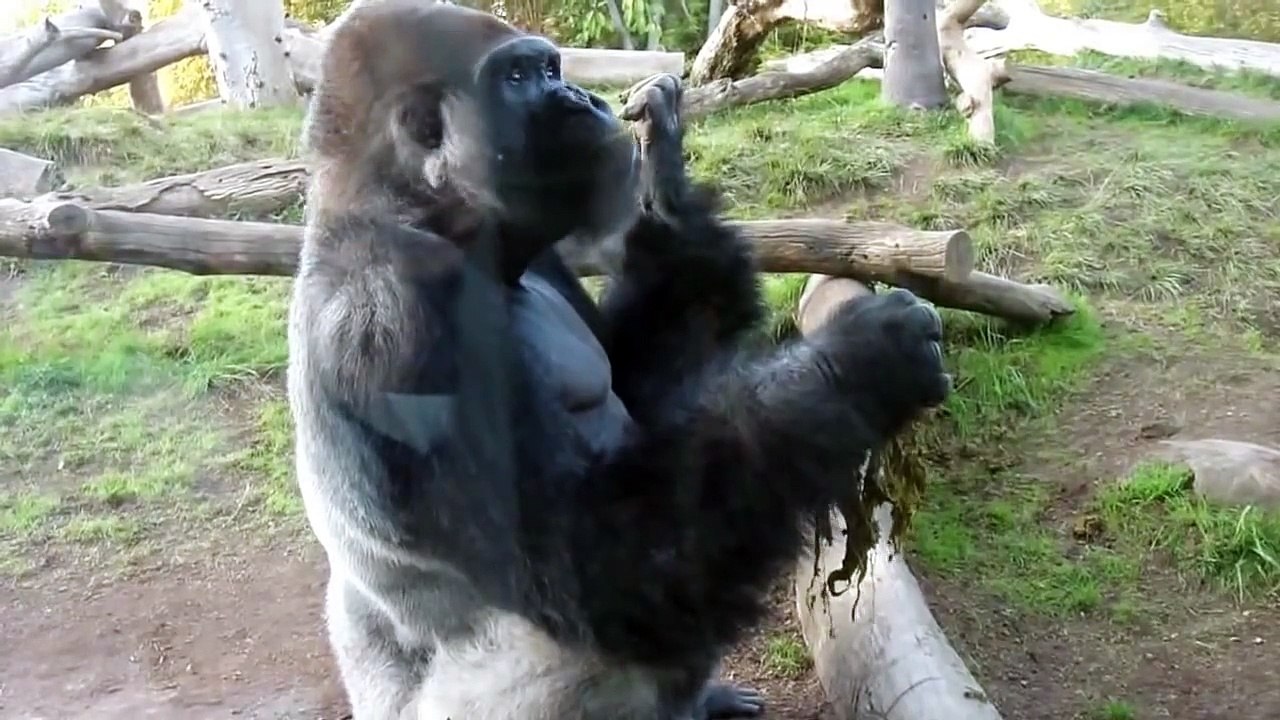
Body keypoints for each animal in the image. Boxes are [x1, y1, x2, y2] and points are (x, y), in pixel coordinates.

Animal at [284, 2, 952, 719]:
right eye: (518, 77)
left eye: (550, 70)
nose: (580, 97)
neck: (409, 213)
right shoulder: (403, 322)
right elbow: (604, 564)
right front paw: (862, 364)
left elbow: (645, 387)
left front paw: (666, 184)